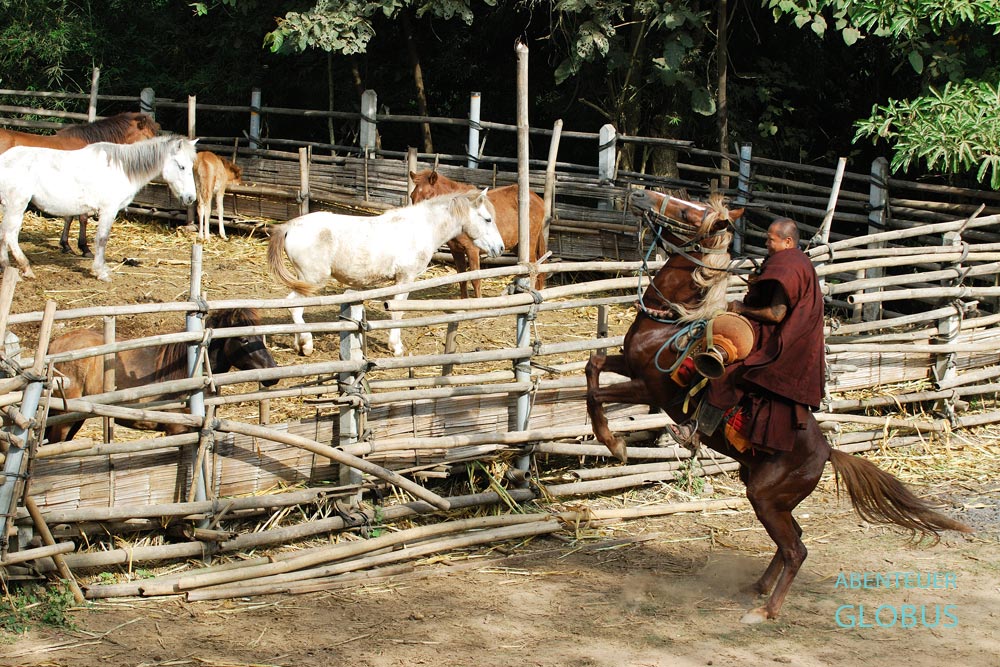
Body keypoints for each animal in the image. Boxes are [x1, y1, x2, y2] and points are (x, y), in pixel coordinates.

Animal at [0, 134, 197, 281]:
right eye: (182, 166)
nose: (191, 197)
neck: (121, 169)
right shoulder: (108, 210)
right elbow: (102, 240)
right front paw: (101, 272)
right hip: (17, 205)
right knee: (10, 235)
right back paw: (26, 268)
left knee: (4, 234)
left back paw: (6, 266)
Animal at [268, 189, 505, 357]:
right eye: (488, 219)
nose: (500, 248)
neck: (422, 228)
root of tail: (290, 226)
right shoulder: (405, 279)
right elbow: (397, 313)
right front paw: (396, 347)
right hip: (312, 280)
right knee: (294, 307)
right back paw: (306, 344)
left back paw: (298, 344)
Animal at [409, 169, 547, 298]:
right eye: (411, 196)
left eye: (428, 197)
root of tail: (537, 198)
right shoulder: (456, 251)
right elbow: (462, 279)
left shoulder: (472, 250)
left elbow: (475, 280)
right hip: (516, 246)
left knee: (534, 267)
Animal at [584, 190, 972, 624]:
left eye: (687, 211)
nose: (638, 194)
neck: (671, 322)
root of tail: (827, 452)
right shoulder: (628, 365)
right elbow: (592, 366)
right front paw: (612, 439)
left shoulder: (651, 389)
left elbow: (596, 395)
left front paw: (614, 444)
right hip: (771, 496)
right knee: (794, 541)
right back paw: (757, 588)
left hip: (766, 498)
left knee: (796, 549)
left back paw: (766, 609)